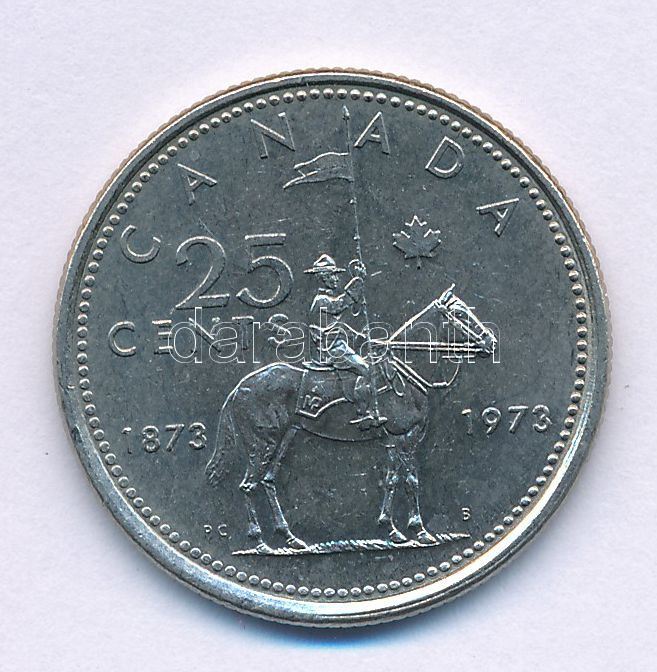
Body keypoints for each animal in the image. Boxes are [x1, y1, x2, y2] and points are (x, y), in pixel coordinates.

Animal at [205, 286, 496, 553]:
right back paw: (260, 541)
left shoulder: (393, 441)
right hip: (262, 444)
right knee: (248, 485)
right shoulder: (406, 438)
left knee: (267, 481)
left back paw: (289, 537)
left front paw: (391, 529)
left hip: (284, 438)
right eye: (461, 314)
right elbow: (412, 480)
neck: (404, 375)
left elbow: (392, 480)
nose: (490, 341)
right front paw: (420, 530)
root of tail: (240, 388)